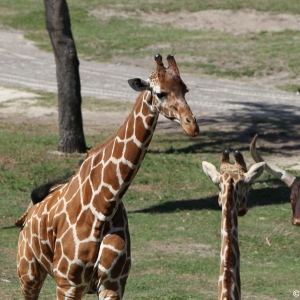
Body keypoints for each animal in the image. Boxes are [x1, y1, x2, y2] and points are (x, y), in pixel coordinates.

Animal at [16, 54, 199, 300]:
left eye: (185, 90)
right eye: (161, 93)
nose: (192, 126)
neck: (105, 205)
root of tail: (30, 210)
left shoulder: (113, 284)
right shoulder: (68, 284)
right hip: (28, 272)